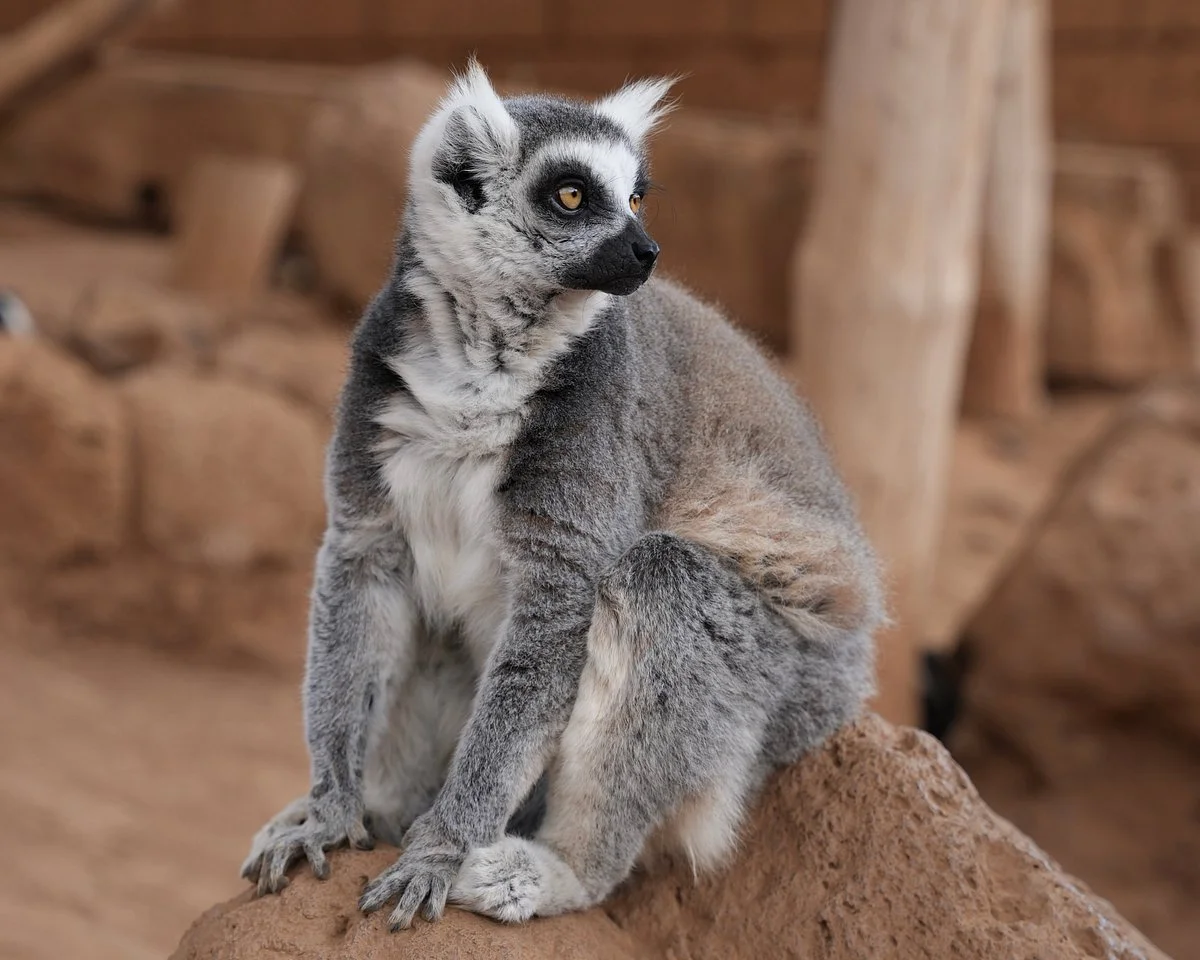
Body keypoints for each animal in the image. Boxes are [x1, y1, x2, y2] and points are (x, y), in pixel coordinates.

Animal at [241, 62, 884, 931]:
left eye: (638, 196)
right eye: (572, 195)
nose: (647, 251)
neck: (482, 356)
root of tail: (853, 670)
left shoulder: (595, 423)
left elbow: (559, 608)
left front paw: (443, 849)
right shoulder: (376, 401)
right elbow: (364, 570)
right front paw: (331, 809)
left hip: (789, 691)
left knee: (663, 585)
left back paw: (564, 870)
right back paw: (386, 808)